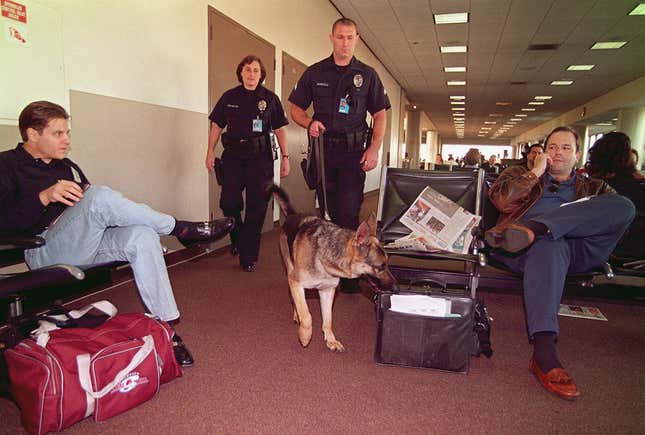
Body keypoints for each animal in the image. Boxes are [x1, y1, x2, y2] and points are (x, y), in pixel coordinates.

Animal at [264, 186, 394, 352]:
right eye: (381, 266)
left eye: (387, 263)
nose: (395, 287)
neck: (325, 259)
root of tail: (293, 215)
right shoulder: (296, 283)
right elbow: (307, 315)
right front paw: (305, 335)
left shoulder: (327, 291)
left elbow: (328, 319)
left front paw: (330, 340)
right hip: (289, 271)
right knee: (294, 300)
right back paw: (296, 315)